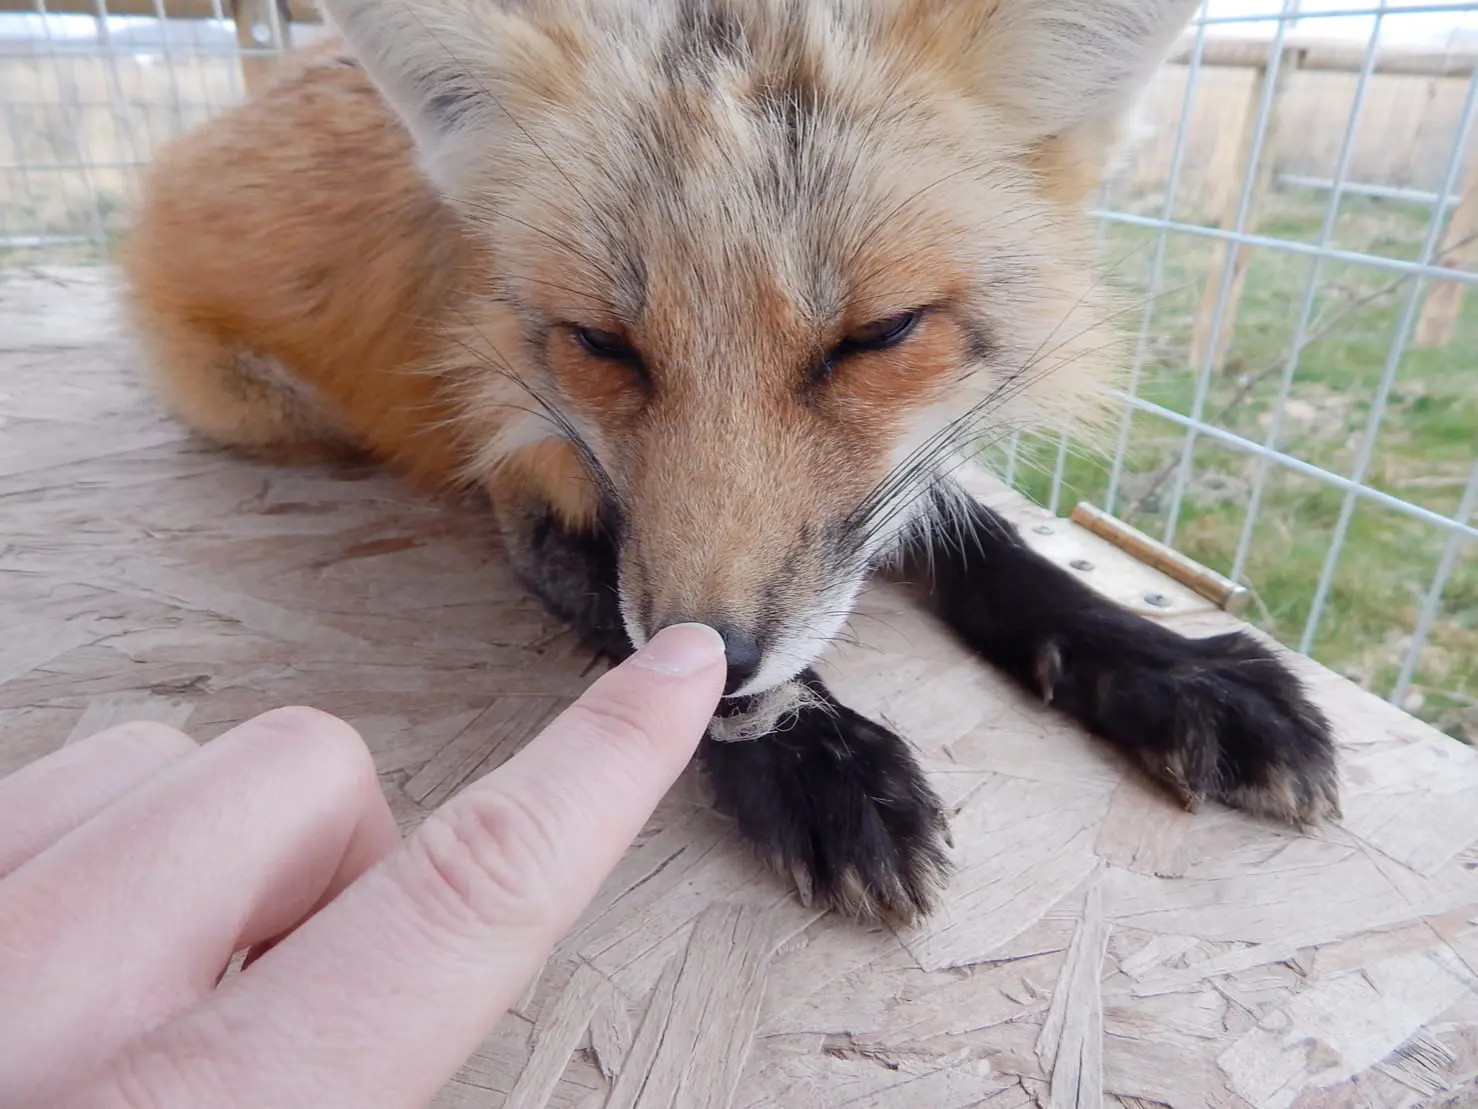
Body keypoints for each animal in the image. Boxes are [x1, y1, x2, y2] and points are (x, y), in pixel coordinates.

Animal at [119, 0, 1341, 922]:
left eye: (878, 335)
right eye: (600, 343)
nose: (735, 660)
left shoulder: (897, 478)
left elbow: (997, 552)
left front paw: (1169, 665)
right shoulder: (532, 492)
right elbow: (637, 625)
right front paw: (819, 756)